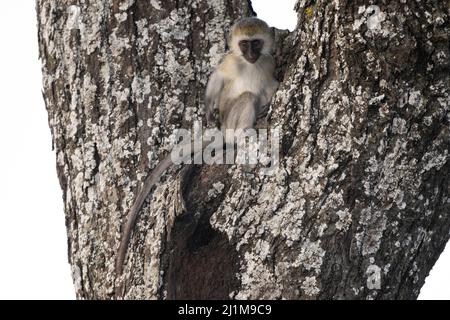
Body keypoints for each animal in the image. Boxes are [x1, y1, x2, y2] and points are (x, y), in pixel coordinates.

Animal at [115, 16, 278, 276]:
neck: (251, 65)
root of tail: (225, 131)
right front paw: (209, 111)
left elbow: (272, 84)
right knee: (247, 98)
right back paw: (242, 133)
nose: (251, 54)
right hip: (232, 119)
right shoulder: (230, 62)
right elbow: (217, 78)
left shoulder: (268, 63)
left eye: (256, 43)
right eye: (244, 45)